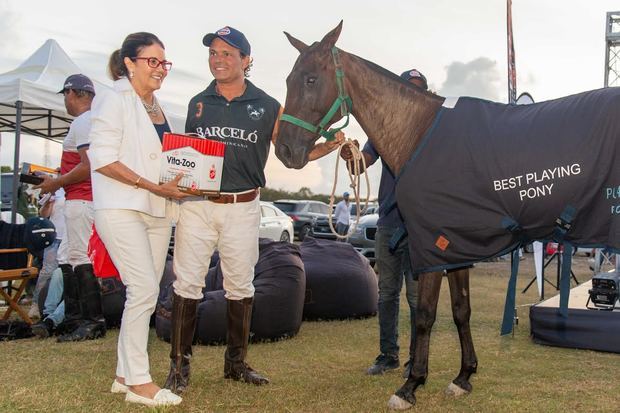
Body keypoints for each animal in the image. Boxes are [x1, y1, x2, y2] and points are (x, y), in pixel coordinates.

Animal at [276, 22, 480, 408]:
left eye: (310, 79)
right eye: (288, 79)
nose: (284, 150)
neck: (421, 135)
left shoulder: (433, 247)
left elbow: (425, 314)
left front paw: (411, 385)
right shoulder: (456, 250)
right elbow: (461, 309)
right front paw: (463, 377)